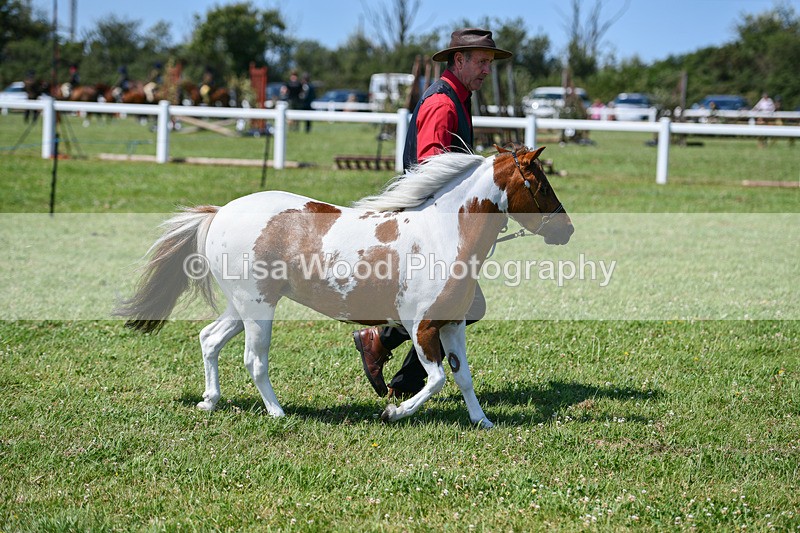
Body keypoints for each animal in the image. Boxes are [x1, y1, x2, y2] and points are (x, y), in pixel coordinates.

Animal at [114, 145, 574, 427]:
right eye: (540, 184)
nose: (566, 229)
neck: (444, 234)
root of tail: (219, 212)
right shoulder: (422, 327)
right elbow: (437, 379)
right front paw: (393, 413)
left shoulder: (451, 325)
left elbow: (464, 377)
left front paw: (482, 420)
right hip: (258, 308)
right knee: (254, 360)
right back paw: (278, 413)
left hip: (244, 304)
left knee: (209, 339)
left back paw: (210, 400)